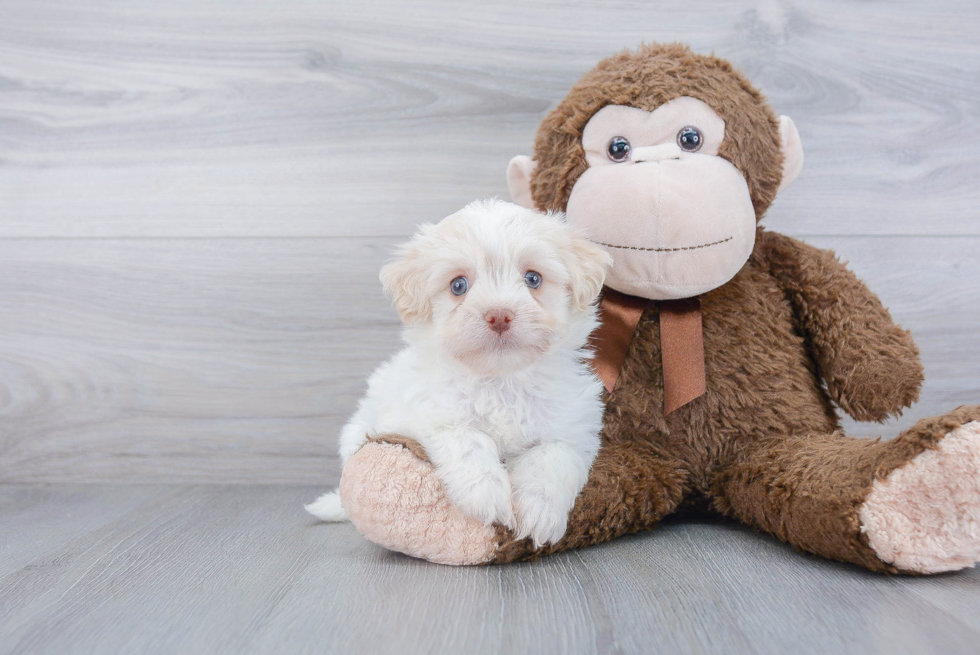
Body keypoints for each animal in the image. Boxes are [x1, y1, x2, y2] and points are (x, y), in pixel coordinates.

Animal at [306, 200, 612, 548]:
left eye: (533, 279)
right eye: (458, 285)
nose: (499, 315)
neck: (500, 379)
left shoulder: (571, 428)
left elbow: (551, 458)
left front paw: (539, 513)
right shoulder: (429, 415)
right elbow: (468, 439)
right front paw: (489, 496)